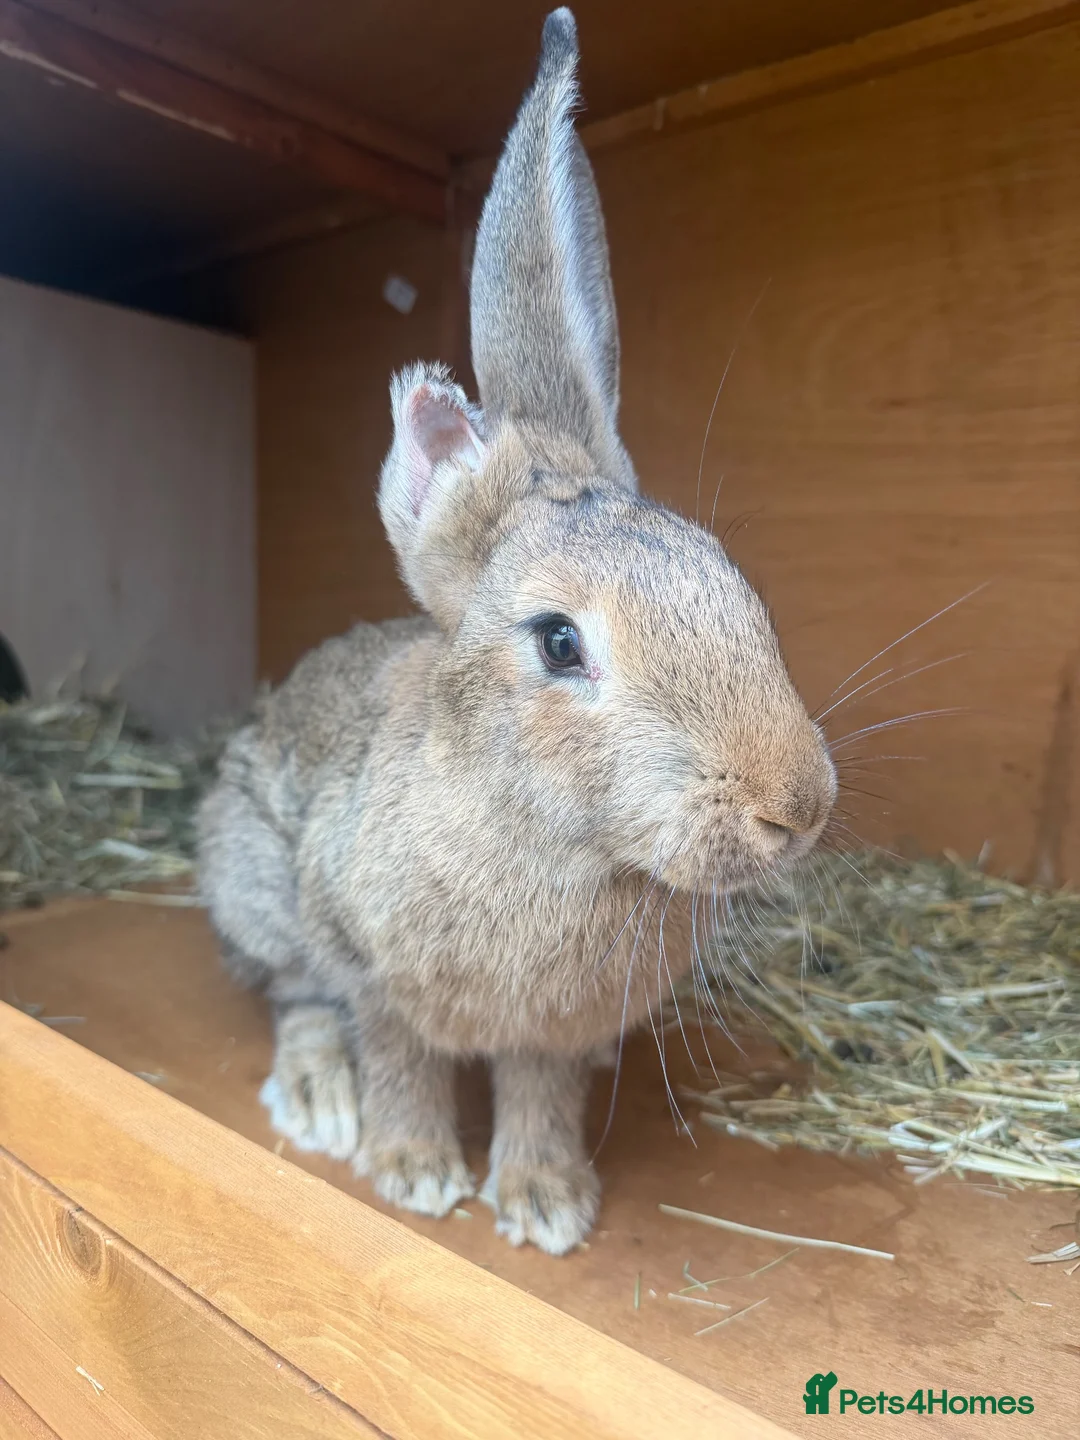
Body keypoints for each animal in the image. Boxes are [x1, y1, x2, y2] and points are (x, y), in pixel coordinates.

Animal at [196, 7, 836, 1255]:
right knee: (292, 995)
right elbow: (397, 1056)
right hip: (252, 874)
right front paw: (413, 1172)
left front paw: (546, 1202)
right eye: (558, 644)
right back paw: (320, 1099)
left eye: (730, 578)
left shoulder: (552, 1034)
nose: (800, 806)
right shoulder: (374, 968)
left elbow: (541, 1091)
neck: (558, 845)